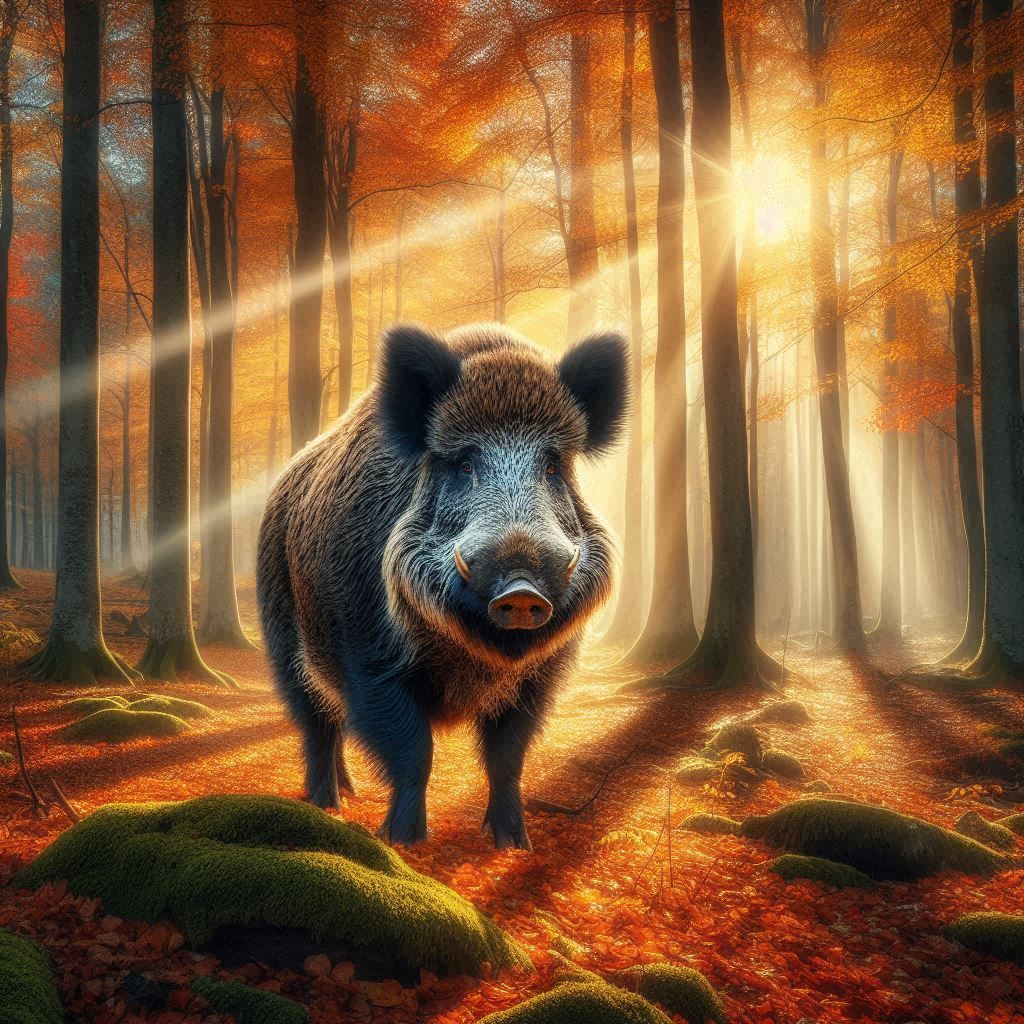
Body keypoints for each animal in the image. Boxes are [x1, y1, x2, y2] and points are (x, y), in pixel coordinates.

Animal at [256, 322, 627, 848]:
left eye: (553, 466)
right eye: (464, 464)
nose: (522, 590)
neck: (476, 658)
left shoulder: (542, 675)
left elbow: (507, 758)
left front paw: (513, 843)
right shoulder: (368, 657)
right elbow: (414, 752)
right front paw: (402, 841)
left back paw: (348, 793)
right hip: (283, 638)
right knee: (316, 724)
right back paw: (327, 806)